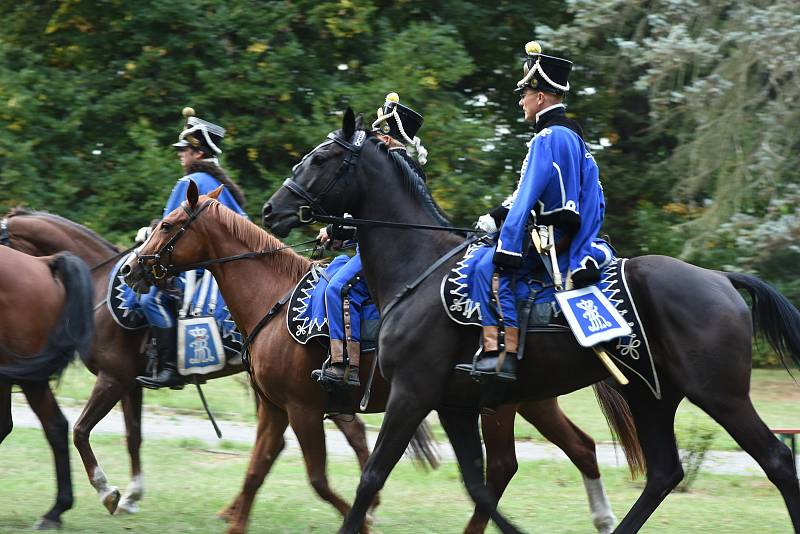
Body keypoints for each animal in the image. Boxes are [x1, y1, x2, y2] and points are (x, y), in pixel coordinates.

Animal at [120, 182, 620, 532]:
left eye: (169, 224)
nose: (131, 268)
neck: (272, 297)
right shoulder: (275, 410)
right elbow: (256, 470)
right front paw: (236, 519)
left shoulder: (303, 410)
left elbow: (319, 480)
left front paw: (365, 520)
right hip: (533, 401)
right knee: (579, 448)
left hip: (498, 408)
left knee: (502, 466)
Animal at [266, 110, 800, 534]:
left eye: (321, 158)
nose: (273, 209)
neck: (418, 265)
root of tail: (721, 278)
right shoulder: (453, 405)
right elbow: (477, 486)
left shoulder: (411, 395)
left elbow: (372, 476)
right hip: (650, 395)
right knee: (665, 472)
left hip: (719, 394)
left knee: (776, 459)